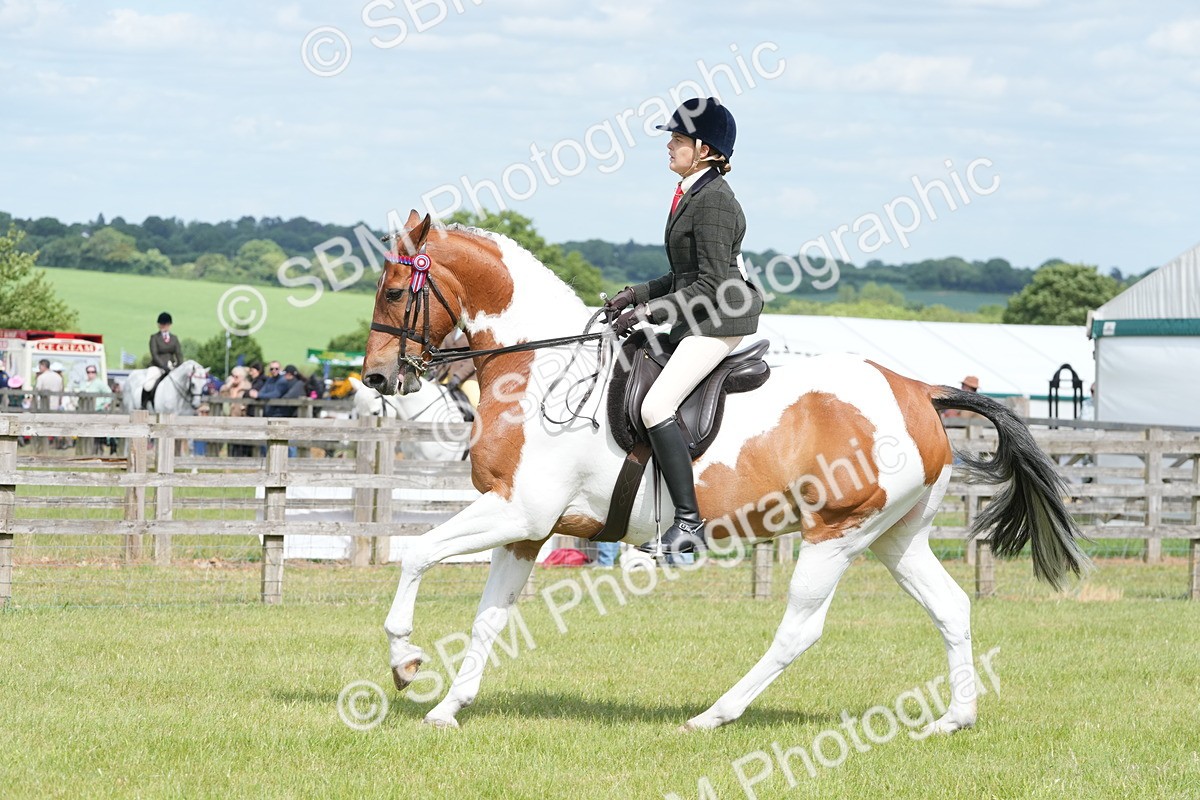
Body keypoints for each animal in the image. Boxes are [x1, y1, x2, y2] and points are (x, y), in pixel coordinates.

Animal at [361, 210, 1088, 732]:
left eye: (395, 291)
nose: (376, 378)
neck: (541, 368)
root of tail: (920, 391)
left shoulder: (518, 510)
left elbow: (416, 555)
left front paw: (405, 663)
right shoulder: (526, 528)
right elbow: (489, 617)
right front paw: (447, 710)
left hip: (836, 532)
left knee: (800, 630)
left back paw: (714, 715)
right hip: (894, 537)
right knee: (950, 607)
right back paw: (954, 719)